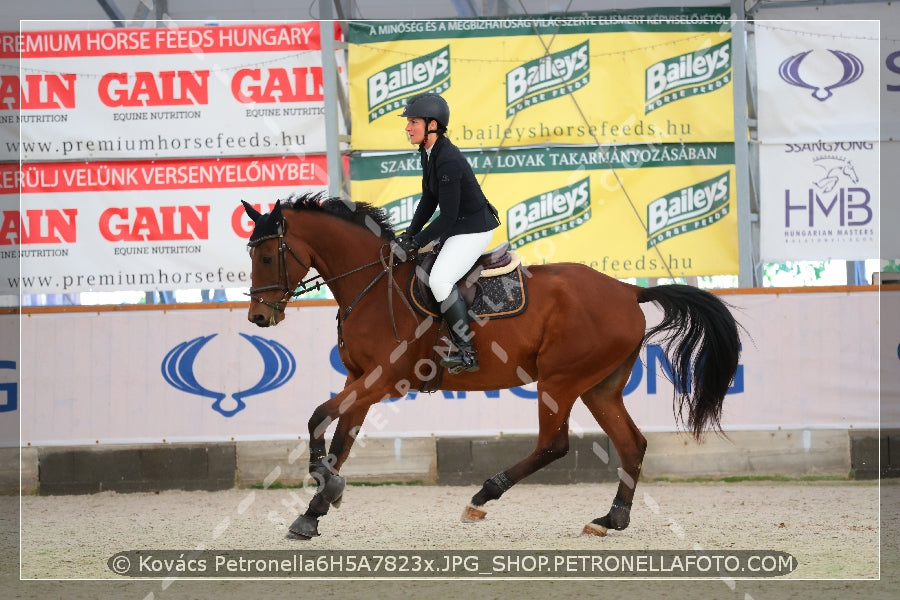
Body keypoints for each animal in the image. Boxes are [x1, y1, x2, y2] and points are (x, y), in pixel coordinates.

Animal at [243, 192, 740, 540]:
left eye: (266, 256)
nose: (259, 318)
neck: (371, 284)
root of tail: (627, 290)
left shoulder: (385, 378)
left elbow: (317, 419)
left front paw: (324, 490)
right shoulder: (359, 377)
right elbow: (340, 440)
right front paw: (314, 510)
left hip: (560, 380)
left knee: (554, 444)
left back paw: (483, 495)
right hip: (599, 387)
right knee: (631, 444)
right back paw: (610, 519)